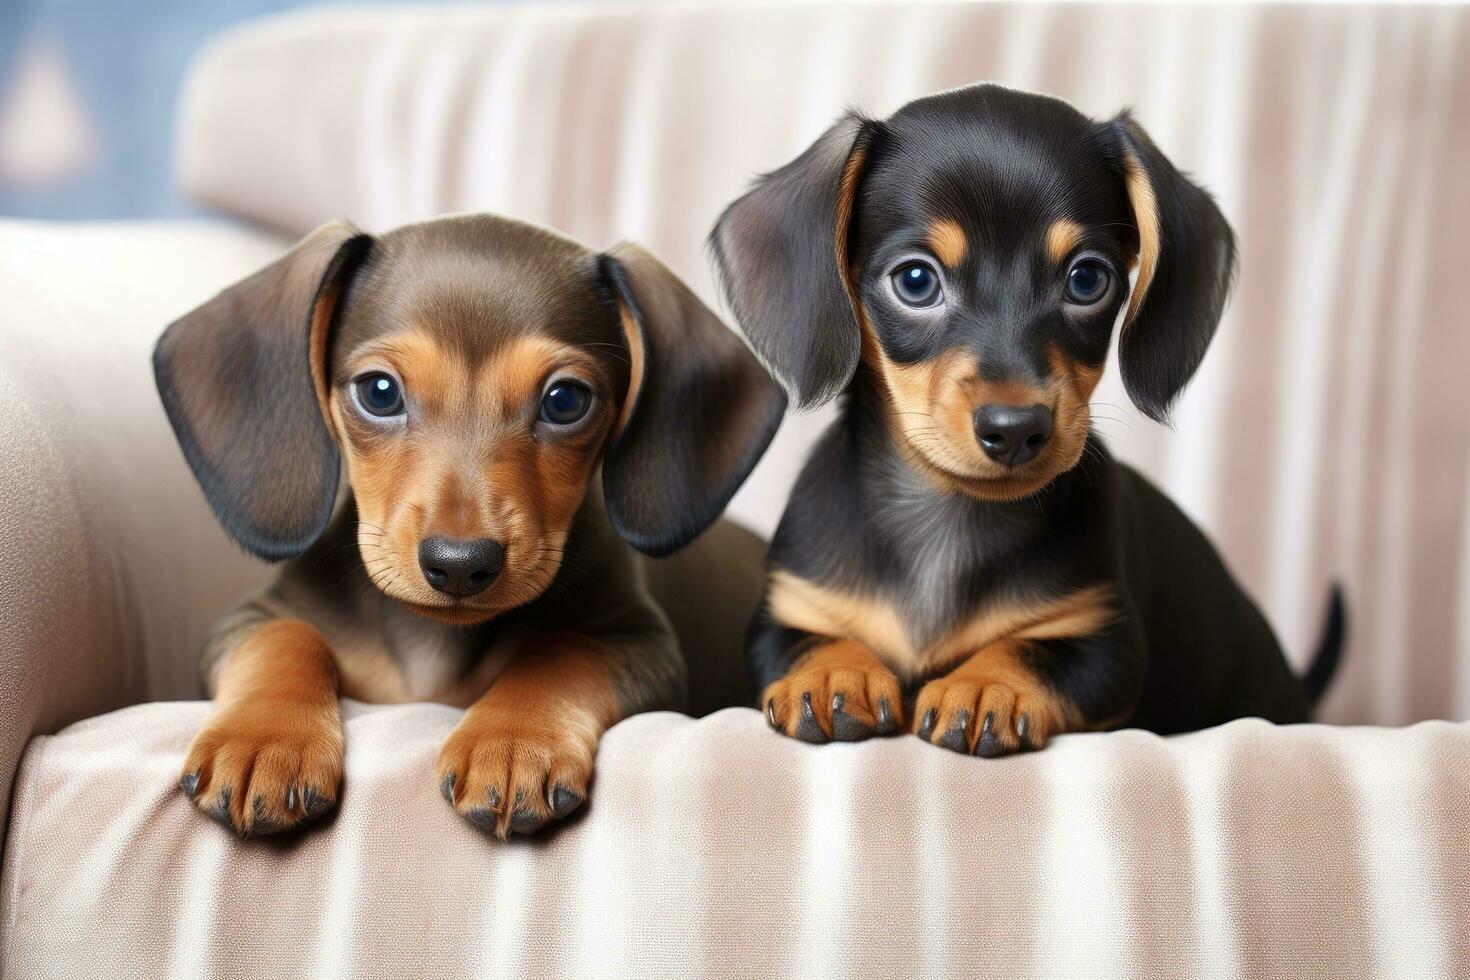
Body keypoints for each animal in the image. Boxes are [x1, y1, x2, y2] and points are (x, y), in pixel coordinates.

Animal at [155, 213, 787, 834]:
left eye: (565, 400)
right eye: (378, 392)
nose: (459, 565)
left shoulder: (642, 644)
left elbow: (562, 650)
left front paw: (512, 741)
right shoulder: (246, 621)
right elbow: (284, 636)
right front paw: (263, 740)